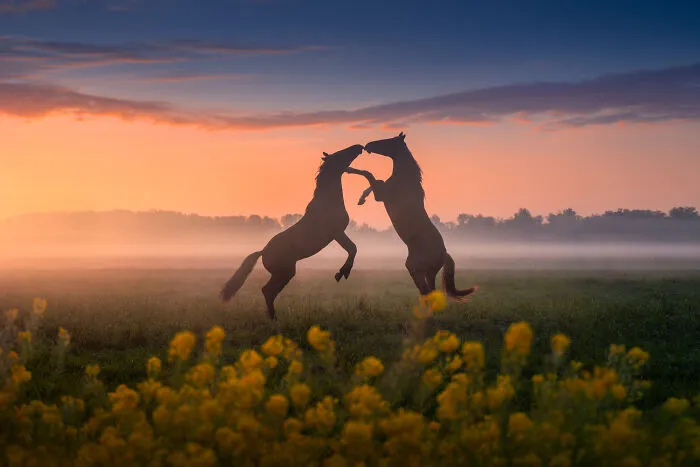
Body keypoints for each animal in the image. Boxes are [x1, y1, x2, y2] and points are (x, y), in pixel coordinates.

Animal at [220, 144, 365, 320]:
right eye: (340, 154)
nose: (359, 147)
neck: (328, 201)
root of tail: (263, 251)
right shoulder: (337, 232)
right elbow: (352, 248)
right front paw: (342, 273)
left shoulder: (338, 234)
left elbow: (352, 248)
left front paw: (342, 273)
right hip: (285, 272)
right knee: (267, 291)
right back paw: (274, 318)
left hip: (283, 273)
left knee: (268, 291)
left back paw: (273, 317)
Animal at [347, 132, 477, 301]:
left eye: (389, 141)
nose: (367, 146)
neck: (404, 181)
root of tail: (444, 254)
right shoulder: (381, 191)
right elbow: (374, 180)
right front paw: (361, 199)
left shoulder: (381, 195)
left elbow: (369, 174)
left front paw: (349, 169)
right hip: (423, 272)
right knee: (429, 293)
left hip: (419, 270)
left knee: (428, 292)